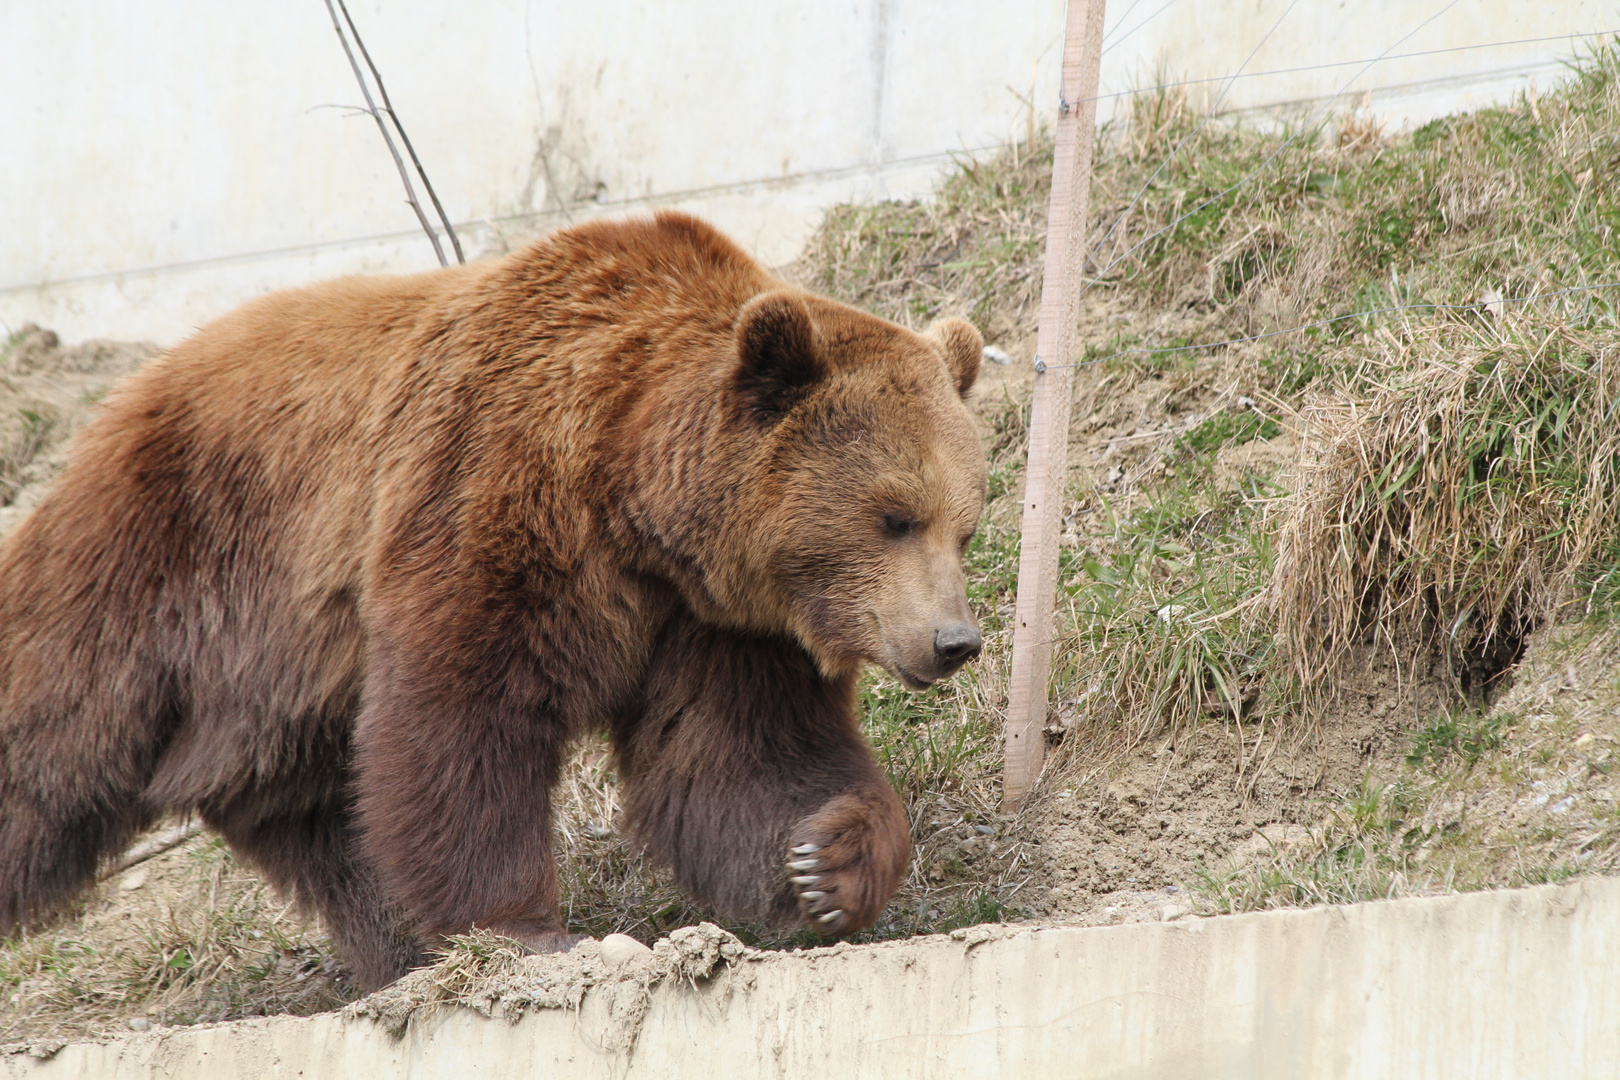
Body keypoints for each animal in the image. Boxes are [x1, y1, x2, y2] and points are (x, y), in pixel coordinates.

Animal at [0, 208, 984, 990]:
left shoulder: (719, 623)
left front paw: (830, 859)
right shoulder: (497, 490)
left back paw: (391, 948)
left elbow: (739, 755)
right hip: (162, 561)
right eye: (894, 516)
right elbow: (466, 711)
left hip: (274, 684)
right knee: (51, 738)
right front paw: (529, 930)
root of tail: (119, 401)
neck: (636, 499)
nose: (954, 640)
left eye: (965, 527)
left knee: (317, 814)